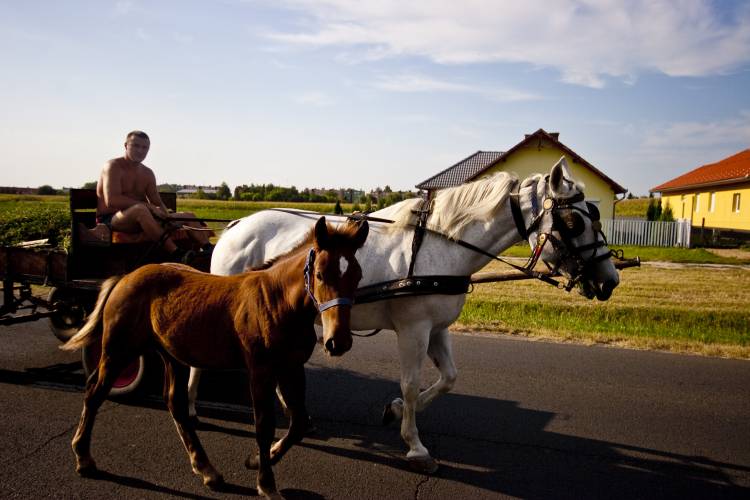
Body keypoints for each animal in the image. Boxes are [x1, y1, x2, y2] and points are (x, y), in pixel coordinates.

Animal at [62, 217, 370, 498]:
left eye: (357, 276)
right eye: (320, 274)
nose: (338, 342)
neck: (278, 302)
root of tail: (125, 277)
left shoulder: (292, 368)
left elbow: (299, 423)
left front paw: (259, 459)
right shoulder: (260, 370)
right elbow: (264, 425)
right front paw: (266, 484)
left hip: (172, 355)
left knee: (175, 404)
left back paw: (207, 470)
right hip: (119, 349)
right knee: (95, 392)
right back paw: (84, 459)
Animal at [189, 157, 624, 472]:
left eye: (594, 213)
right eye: (575, 220)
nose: (610, 279)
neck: (442, 247)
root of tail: (236, 225)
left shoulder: (437, 329)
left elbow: (448, 379)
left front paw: (396, 411)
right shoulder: (413, 330)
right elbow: (412, 384)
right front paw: (415, 445)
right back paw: (192, 408)